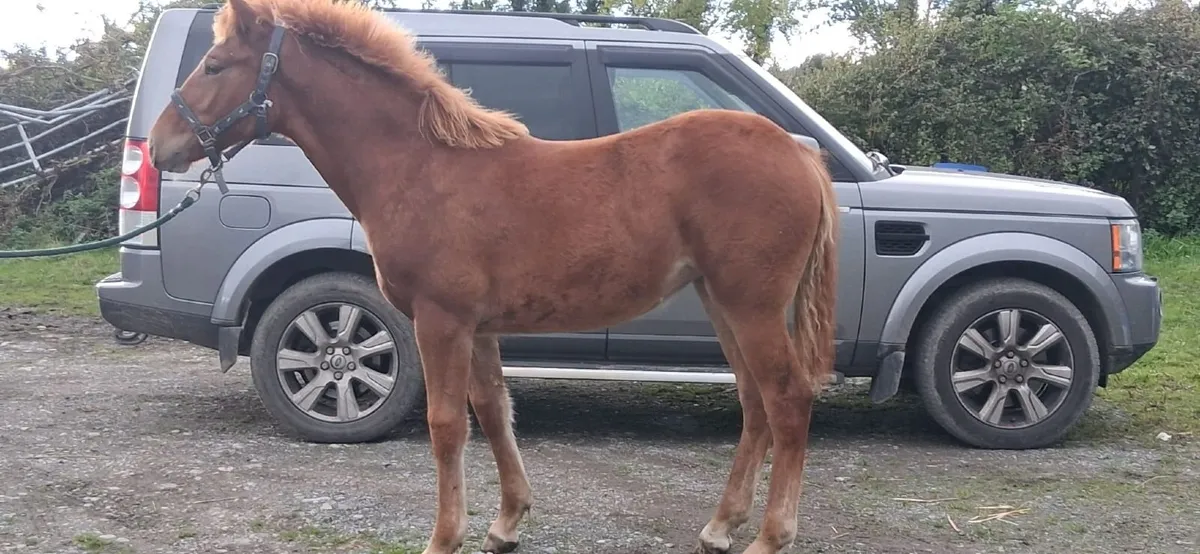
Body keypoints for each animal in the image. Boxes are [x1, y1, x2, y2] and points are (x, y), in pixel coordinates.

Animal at [146, 1, 839, 552]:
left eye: (215, 66)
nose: (159, 146)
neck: (420, 165)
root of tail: (799, 151)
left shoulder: (440, 320)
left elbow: (447, 425)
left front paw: (443, 537)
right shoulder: (477, 327)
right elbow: (493, 411)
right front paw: (505, 525)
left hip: (751, 305)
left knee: (787, 399)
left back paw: (771, 537)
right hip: (722, 302)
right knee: (755, 402)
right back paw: (720, 528)